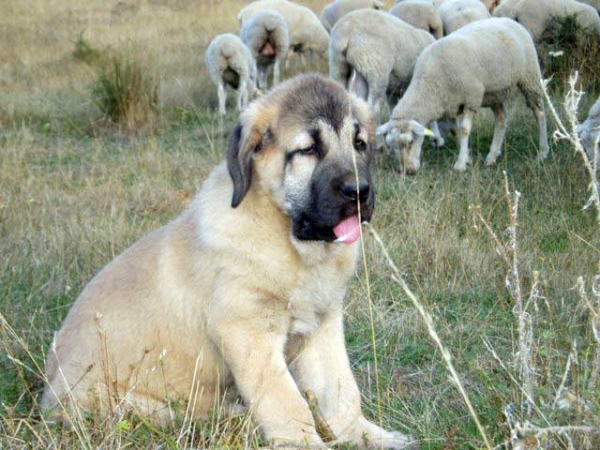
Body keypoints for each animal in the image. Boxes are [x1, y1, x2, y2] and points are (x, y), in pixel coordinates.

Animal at [42, 73, 414, 446]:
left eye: (359, 143)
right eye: (308, 149)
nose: (359, 192)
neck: (289, 244)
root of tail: (48, 391)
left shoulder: (323, 325)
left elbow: (341, 390)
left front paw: (365, 434)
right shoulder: (248, 333)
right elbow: (287, 403)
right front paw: (307, 443)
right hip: (132, 404)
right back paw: (237, 417)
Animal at [378, 17, 552, 172]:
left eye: (410, 142)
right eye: (391, 146)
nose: (407, 171)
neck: (430, 86)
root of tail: (511, 21)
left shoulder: (471, 99)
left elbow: (464, 130)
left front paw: (460, 164)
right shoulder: (449, 103)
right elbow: (455, 131)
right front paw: (468, 158)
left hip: (529, 77)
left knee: (540, 113)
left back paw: (542, 152)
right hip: (494, 93)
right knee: (501, 119)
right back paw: (492, 156)